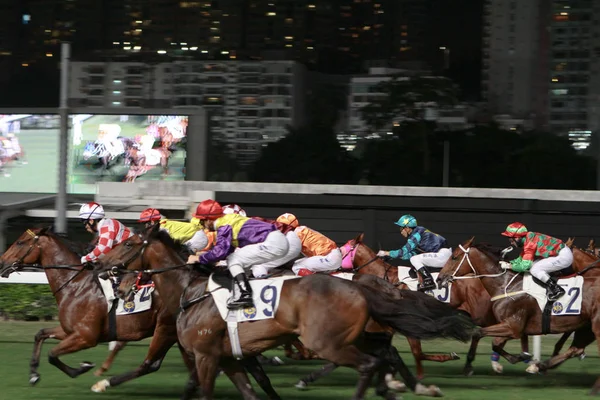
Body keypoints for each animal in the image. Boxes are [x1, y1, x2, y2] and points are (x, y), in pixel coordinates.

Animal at [103, 228, 476, 400]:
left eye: (128, 243)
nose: (105, 268)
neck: (191, 293)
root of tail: (360, 287)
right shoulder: (230, 357)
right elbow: (251, 388)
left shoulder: (207, 355)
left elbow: (204, 389)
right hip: (351, 335)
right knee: (383, 352)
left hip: (327, 340)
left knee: (370, 362)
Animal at [438, 238, 600, 394]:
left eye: (454, 257)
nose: (439, 278)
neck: (506, 285)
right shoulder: (511, 326)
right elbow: (493, 342)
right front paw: (522, 357)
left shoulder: (513, 326)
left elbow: (480, 334)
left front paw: (470, 365)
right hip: (586, 327)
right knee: (575, 349)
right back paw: (541, 366)